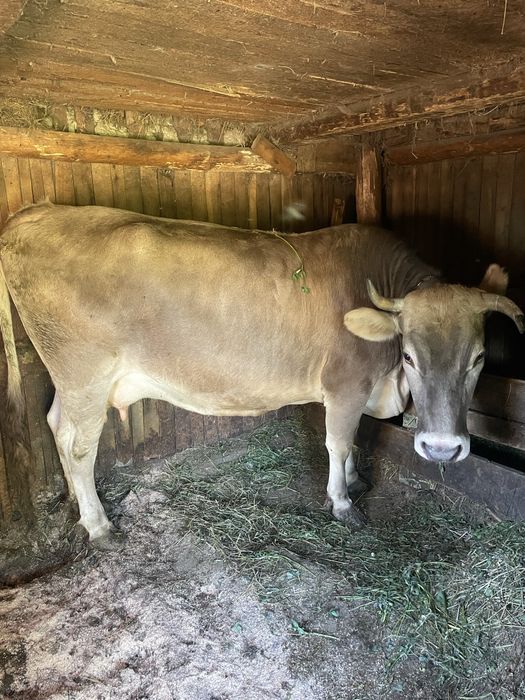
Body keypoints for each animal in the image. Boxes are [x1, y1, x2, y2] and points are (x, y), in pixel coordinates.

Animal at [0, 202, 523, 543]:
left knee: (55, 425)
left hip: (68, 380)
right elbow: (338, 441)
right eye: (410, 356)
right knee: (78, 445)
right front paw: (342, 502)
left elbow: (354, 439)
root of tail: (33, 215)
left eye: (478, 358)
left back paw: (74, 503)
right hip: (84, 374)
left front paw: (354, 480)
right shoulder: (345, 385)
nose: (442, 449)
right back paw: (98, 524)